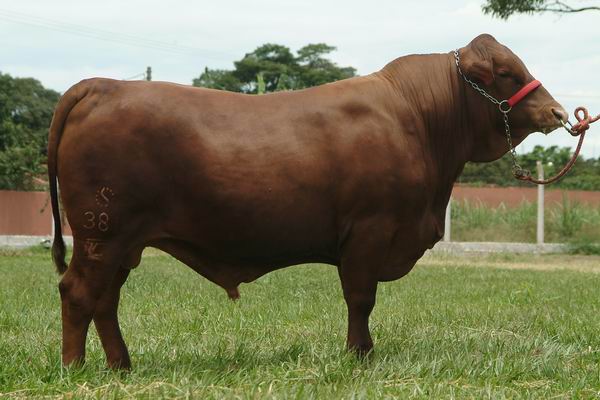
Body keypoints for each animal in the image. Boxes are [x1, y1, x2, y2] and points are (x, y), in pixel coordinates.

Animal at [48, 34, 568, 369]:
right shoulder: (370, 230)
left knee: (105, 300)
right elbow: (360, 298)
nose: (559, 111)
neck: (418, 119)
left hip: (120, 243)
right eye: (506, 73)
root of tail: (103, 85)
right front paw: (360, 357)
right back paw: (75, 369)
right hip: (102, 232)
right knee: (79, 292)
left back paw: (122, 365)